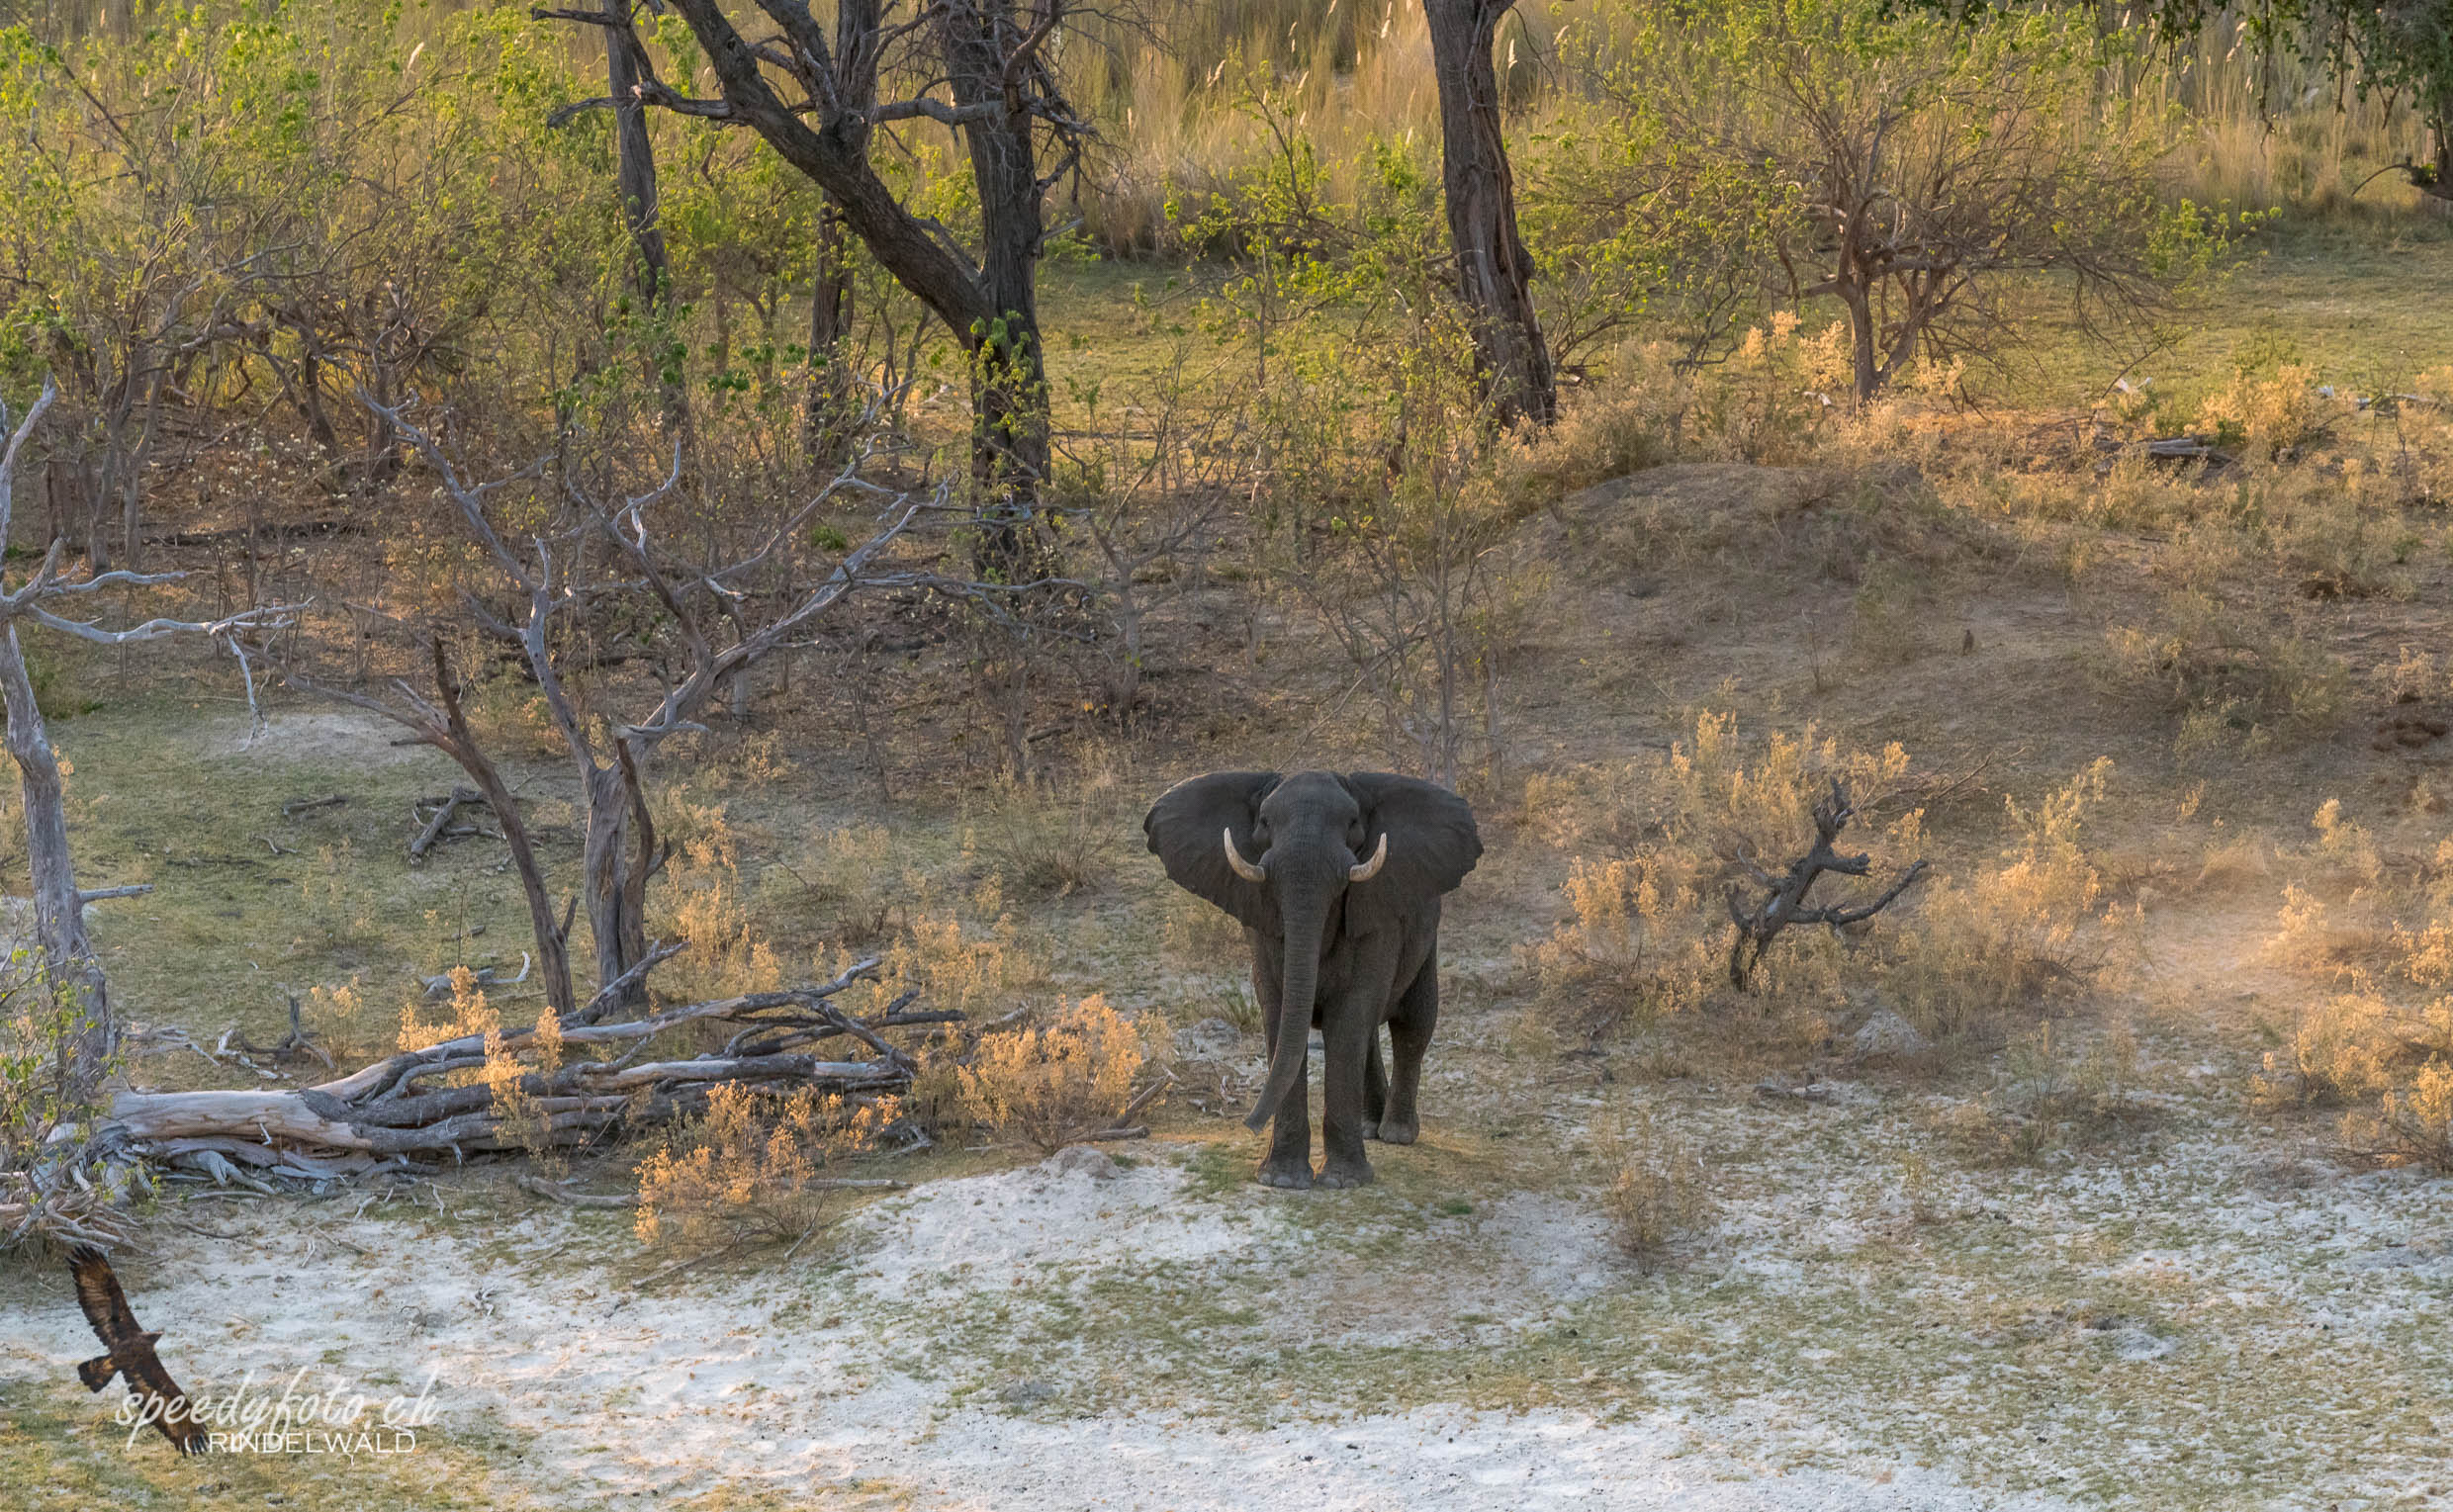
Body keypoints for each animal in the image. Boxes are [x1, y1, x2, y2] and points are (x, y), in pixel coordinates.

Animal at [1142, 774, 1472, 1186]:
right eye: (1264, 822)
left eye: (1352, 823)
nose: (1249, 1124)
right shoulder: (1264, 918)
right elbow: (1282, 1012)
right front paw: (1282, 1180)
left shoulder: (1376, 914)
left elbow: (1349, 1017)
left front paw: (1343, 1182)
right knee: (1370, 1034)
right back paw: (1369, 1127)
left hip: (1425, 929)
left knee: (1413, 1022)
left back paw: (1396, 1134)